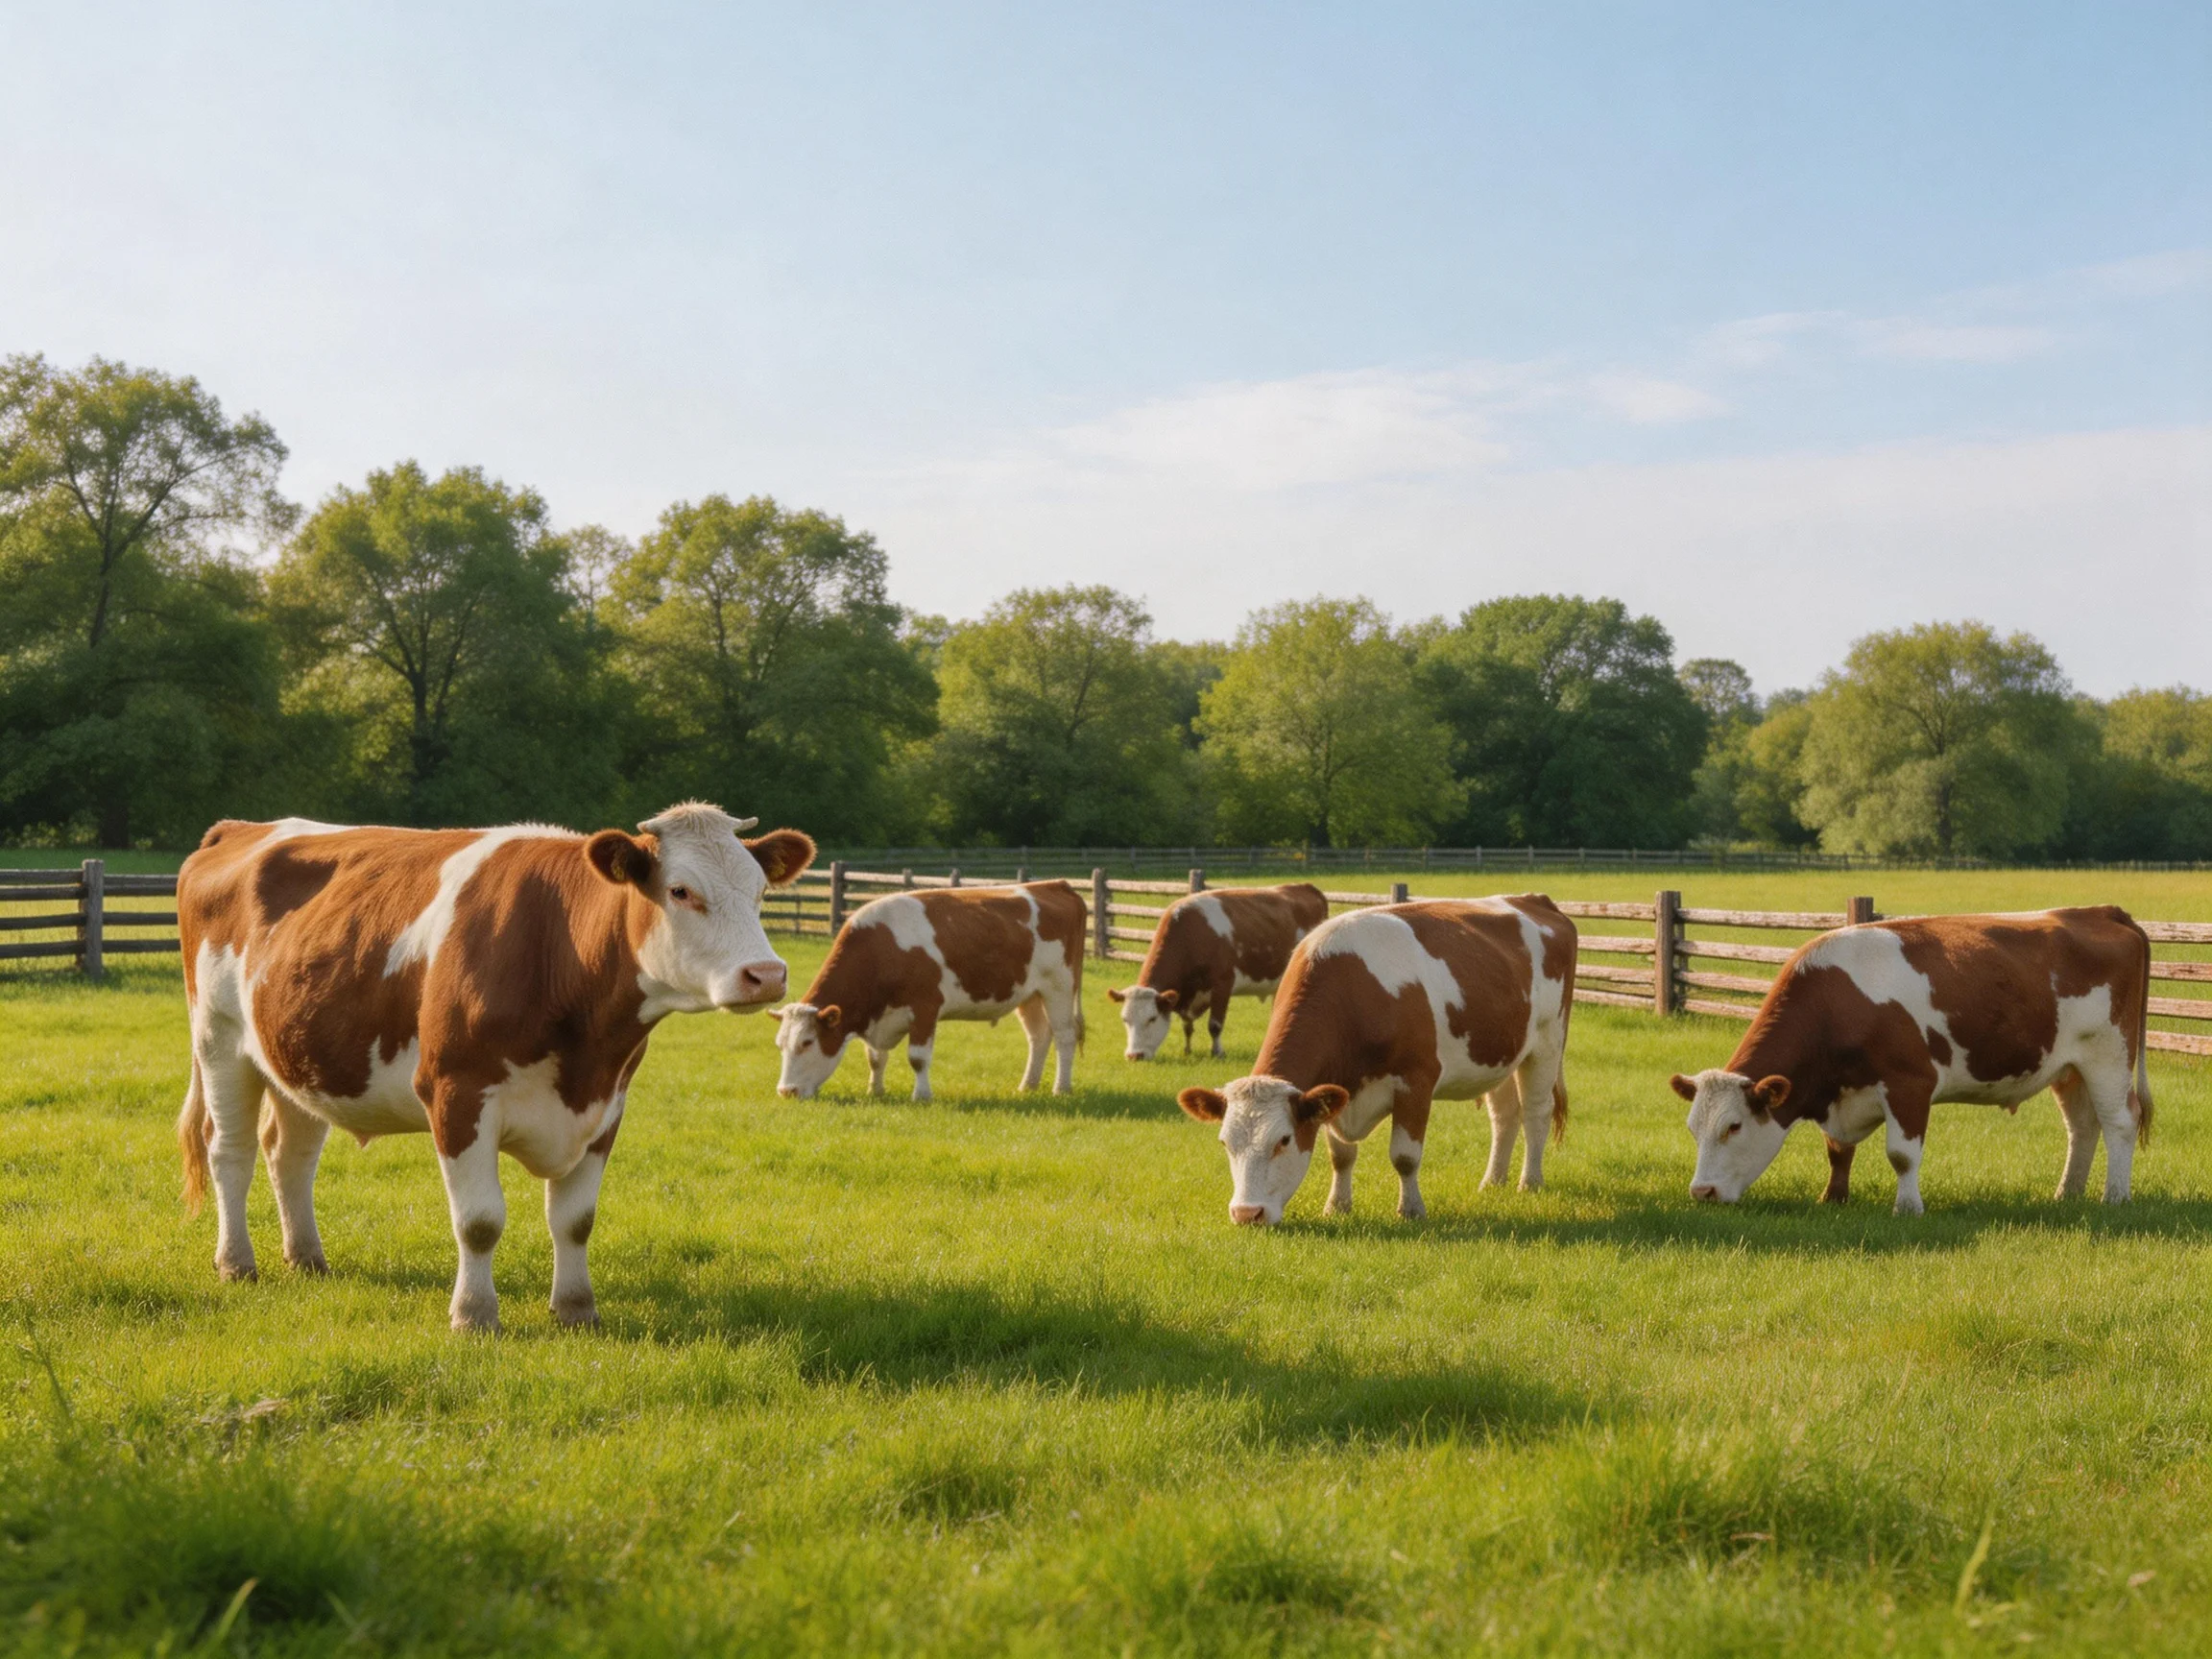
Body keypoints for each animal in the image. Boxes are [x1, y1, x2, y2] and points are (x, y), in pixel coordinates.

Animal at [174, 804, 816, 1331]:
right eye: (681, 891)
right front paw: (475, 1315)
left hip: (299, 1057)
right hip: (219, 1039)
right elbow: (480, 1221)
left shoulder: (608, 1101)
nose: (767, 974)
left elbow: (575, 1219)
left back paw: (307, 1259)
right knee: (230, 1151)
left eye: (760, 891)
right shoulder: (457, 1094)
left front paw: (577, 1309)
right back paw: (237, 1264)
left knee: (291, 1154)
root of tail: (239, 828)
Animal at [772, 882, 1086, 1101]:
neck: (882, 948)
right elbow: (875, 1058)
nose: (786, 1091)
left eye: (807, 1042)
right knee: (1039, 1036)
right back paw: (1028, 1086)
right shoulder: (879, 1013)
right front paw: (875, 1090)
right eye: (780, 1044)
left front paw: (921, 1095)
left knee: (1064, 1036)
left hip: (1059, 986)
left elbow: (917, 1057)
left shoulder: (925, 1007)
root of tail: (1055, 884)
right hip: (1029, 994)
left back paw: (1061, 1088)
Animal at [1108, 882, 1330, 1061]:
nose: (1134, 1056)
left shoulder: (1223, 984)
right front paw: (1187, 1050)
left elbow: (1214, 1025)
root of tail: (1305, 887)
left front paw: (1217, 1052)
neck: (1192, 933)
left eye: (1152, 1018)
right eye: (1125, 1019)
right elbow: (1187, 1026)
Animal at [1178, 896, 1576, 1225]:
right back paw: (1493, 1181)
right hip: (1501, 1055)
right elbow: (1341, 1155)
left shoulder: (1416, 1082)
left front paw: (1411, 1210)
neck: (1353, 992)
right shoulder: (1336, 1089)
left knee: (1536, 1112)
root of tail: (1533, 899)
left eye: (1284, 1140)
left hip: (1547, 1042)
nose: (1247, 1213)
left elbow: (1405, 1156)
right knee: (1504, 1116)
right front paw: (1337, 1206)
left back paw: (1529, 1182)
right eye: (1225, 1143)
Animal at [1670, 907, 2154, 1213]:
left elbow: (1902, 1155)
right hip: (2068, 1068)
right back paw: (2066, 1194)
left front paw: (1907, 1207)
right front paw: (1833, 1198)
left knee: (2119, 1121)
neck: (1836, 1000)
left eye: (1733, 1127)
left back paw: (2115, 1196)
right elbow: (1837, 1150)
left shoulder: (1909, 1084)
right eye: (1693, 1129)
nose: (1701, 1192)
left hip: (2108, 1054)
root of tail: (2098, 910)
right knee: (2083, 1127)